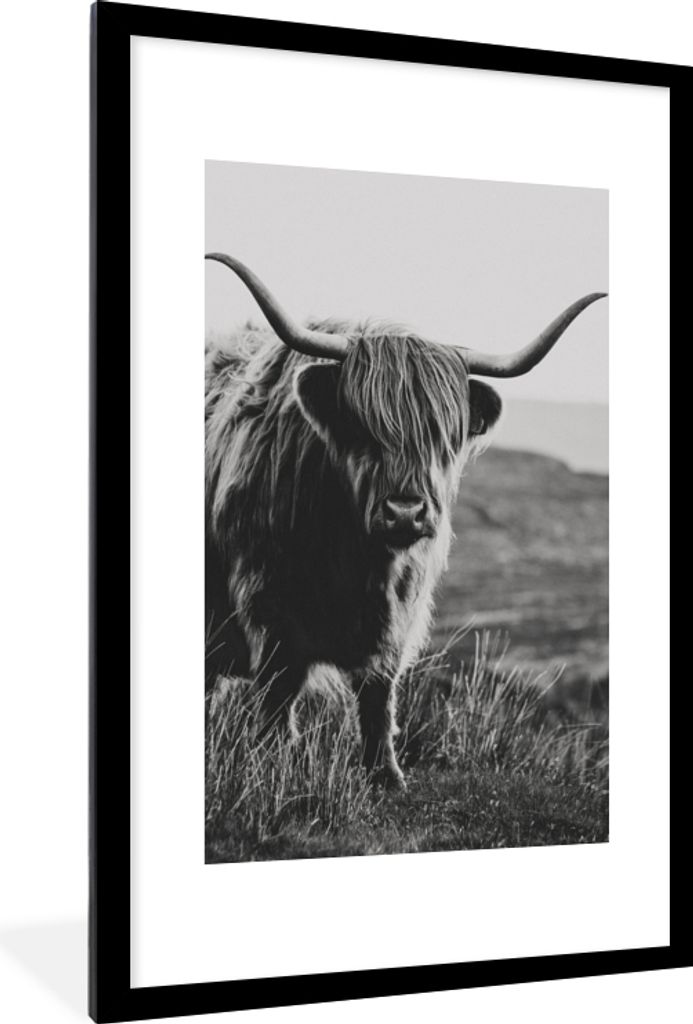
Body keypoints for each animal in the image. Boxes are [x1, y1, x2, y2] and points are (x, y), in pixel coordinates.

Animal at [205, 253, 606, 789]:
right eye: (361, 426)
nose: (406, 511)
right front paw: (273, 762)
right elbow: (278, 688)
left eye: (443, 435)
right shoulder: (268, 600)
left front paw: (386, 774)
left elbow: (379, 691)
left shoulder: (401, 611)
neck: (358, 559)